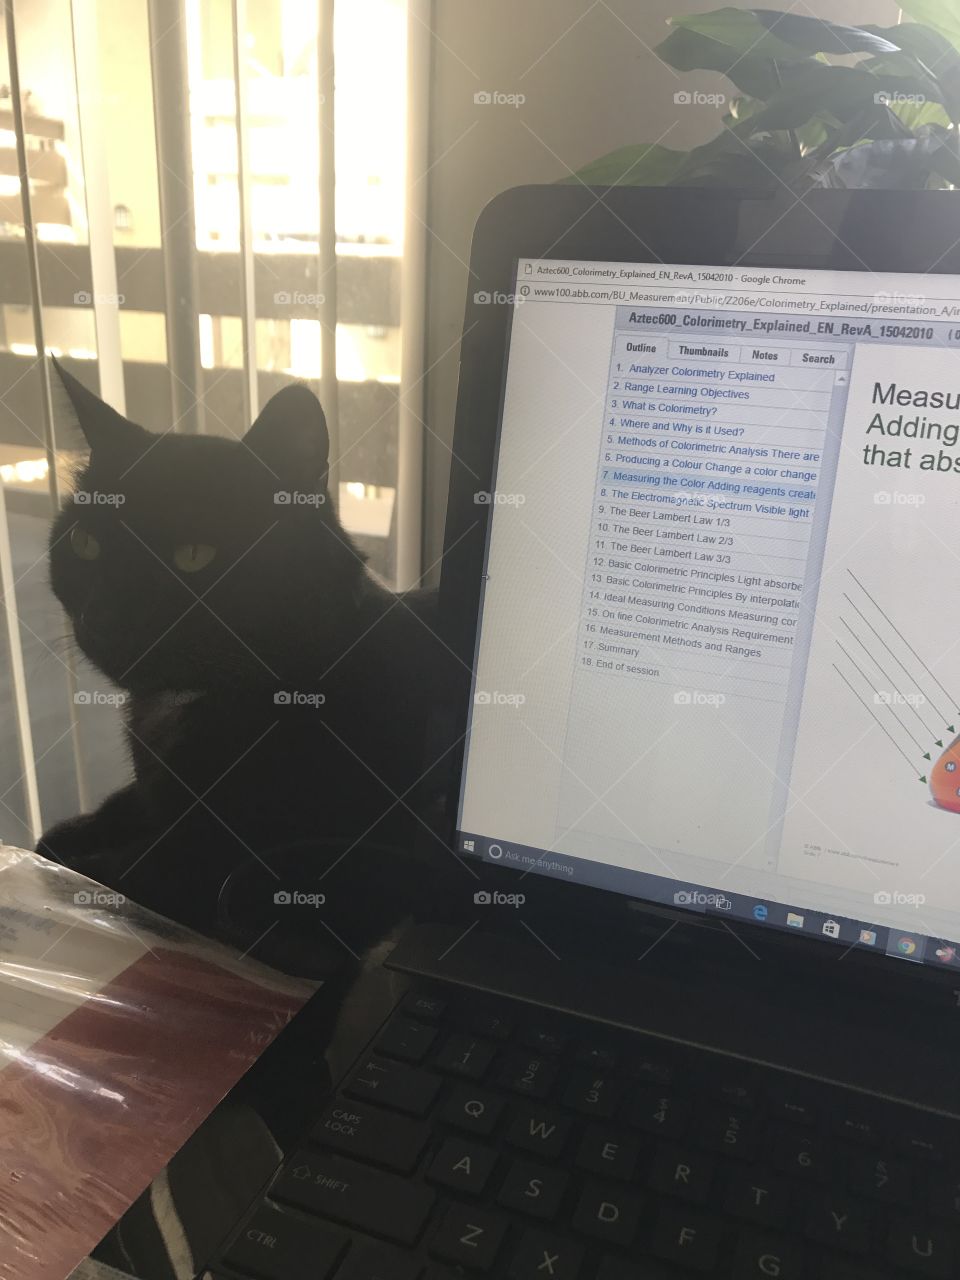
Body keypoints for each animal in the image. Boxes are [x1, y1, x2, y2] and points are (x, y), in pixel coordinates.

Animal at [43, 360, 463, 952]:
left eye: (194, 556)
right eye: (85, 543)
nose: (100, 618)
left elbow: (127, 871)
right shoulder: (152, 794)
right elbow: (102, 815)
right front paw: (67, 834)